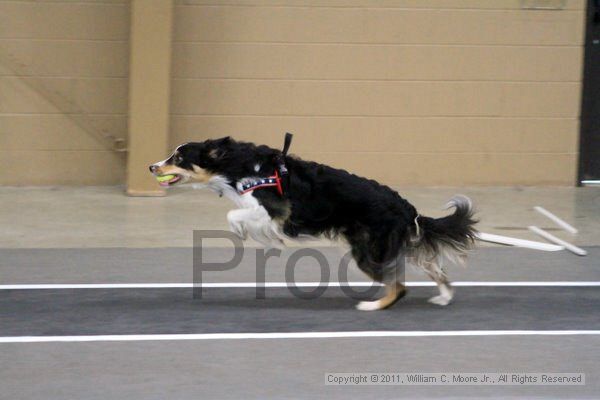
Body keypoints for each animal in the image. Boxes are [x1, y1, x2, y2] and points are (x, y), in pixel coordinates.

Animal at [148, 136, 476, 310]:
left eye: (178, 157)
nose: (151, 166)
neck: (239, 166)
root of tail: (407, 208)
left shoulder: (275, 211)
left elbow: (235, 215)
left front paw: (245, 232)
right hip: (391, 246)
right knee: (433, 267)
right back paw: (444, 297)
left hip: (368, 251)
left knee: (399, 285)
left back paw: (373, 306)